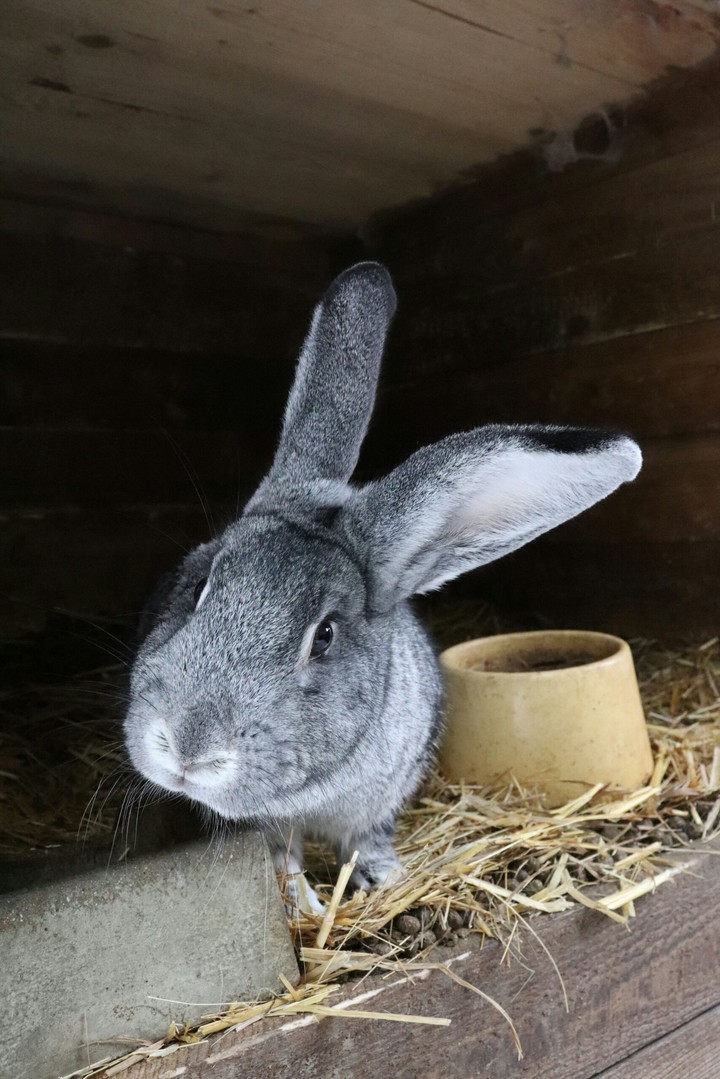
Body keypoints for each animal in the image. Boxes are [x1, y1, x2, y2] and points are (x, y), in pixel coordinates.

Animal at [123, 261, 642, 906]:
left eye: (324, 636)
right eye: (198, 588)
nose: (188, 749)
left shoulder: (378, 803)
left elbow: (365, 842)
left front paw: (382, 879)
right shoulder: (271, 829)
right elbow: (284, 859)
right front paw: (307, 904)